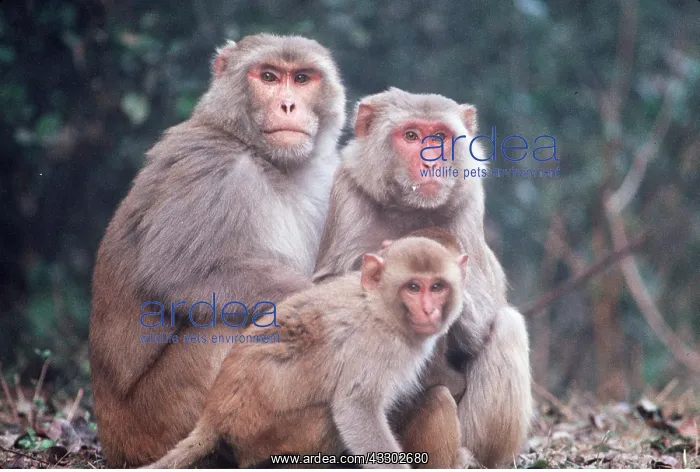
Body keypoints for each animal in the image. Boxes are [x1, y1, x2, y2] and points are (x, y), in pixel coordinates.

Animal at [88, 34, 346, 467]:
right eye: (269, 76)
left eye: (302, 78)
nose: (288, 105)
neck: (262, 155)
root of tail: (110, 441)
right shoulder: (207, 168)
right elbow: (176, 276)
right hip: (151, 422)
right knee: (223, 324)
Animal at [142, 236, 470, 469]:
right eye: (413, 287)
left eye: (437, 286)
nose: (428, 310)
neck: (379, 307)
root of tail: (213, 414)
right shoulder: (376, 347)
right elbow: (355, 408)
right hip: (266, 434)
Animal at [313, 88, 533, 468]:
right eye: (412, 136)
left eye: (439, 138)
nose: (431, 161)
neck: (411, 210)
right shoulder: (348, 191)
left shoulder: (469, 202)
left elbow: (481, 327)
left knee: (507, 326)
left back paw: (475, 458)